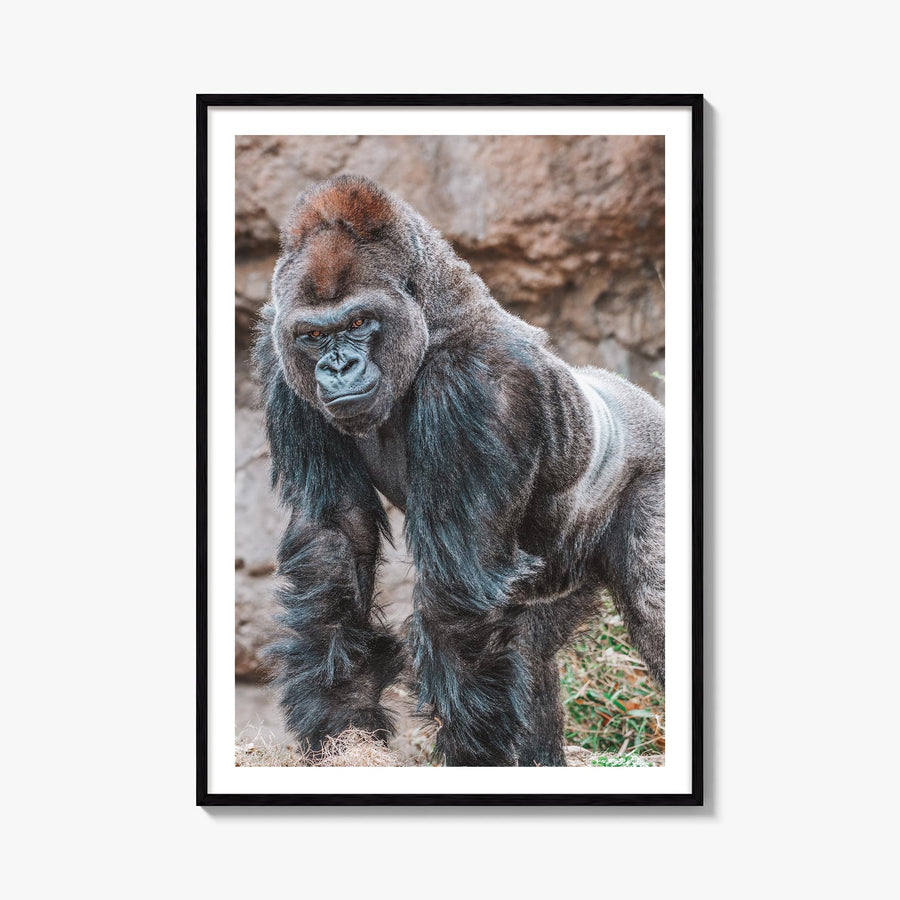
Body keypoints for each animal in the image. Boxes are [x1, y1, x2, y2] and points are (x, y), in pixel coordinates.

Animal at [253, 174, 664, 766]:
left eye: (358, 322)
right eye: (312, 336)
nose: (338, 367)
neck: (431, 315)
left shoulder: (479, 382)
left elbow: (457, 587)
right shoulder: (283, 363)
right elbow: (335, 538)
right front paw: (343, 730)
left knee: (657, 611)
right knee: (529, 649)